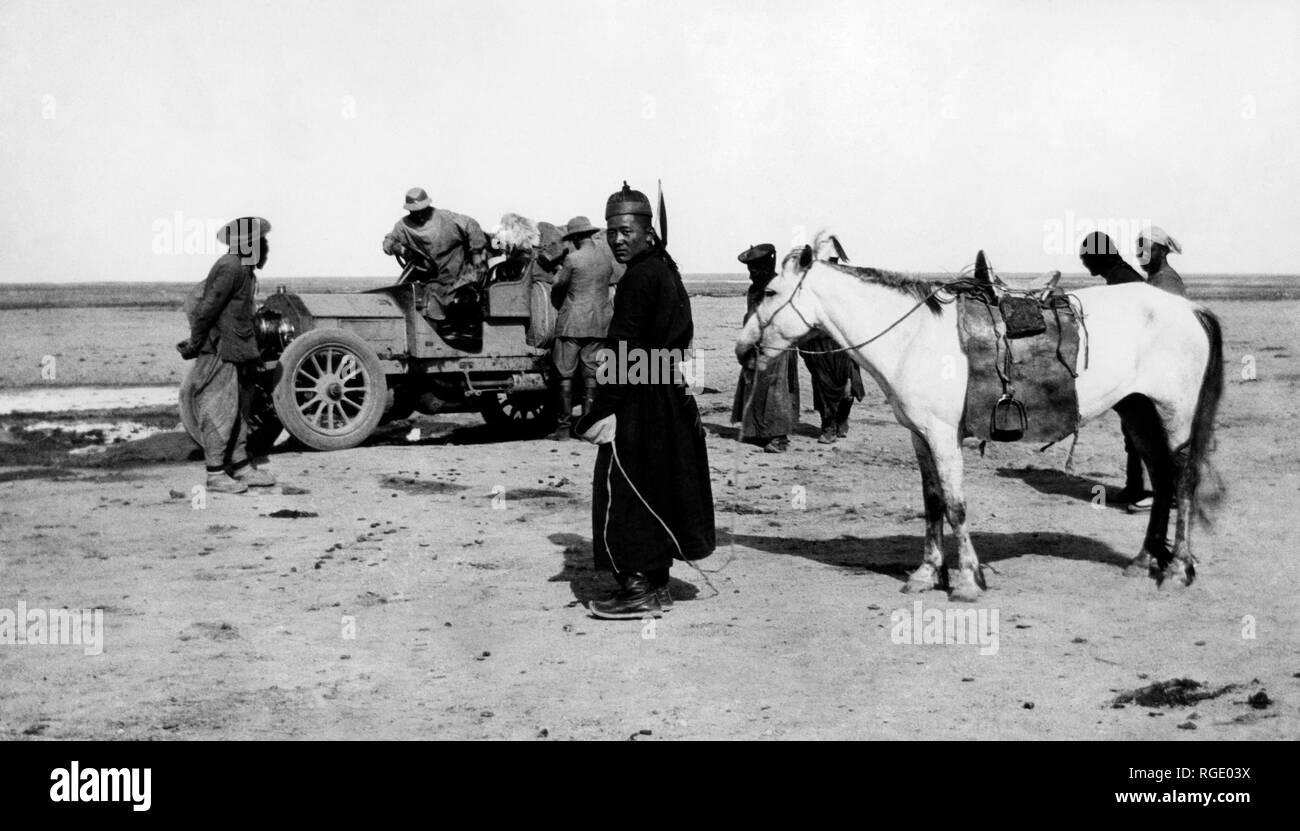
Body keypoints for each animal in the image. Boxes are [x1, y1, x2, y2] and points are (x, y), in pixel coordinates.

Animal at [738, 236, 1222, 600]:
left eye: (770, 292)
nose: (743, 350)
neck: (911, 337)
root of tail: (1189, 309)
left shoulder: (942, 435)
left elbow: (955, 504)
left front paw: (968, 581)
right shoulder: (921, 436)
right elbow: (933, 502)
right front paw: (926, 574)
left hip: (1174, 412)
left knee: (1181, 480)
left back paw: (1176, 569)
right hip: (1138, 409)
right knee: (1161, 478)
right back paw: (1143, 562)